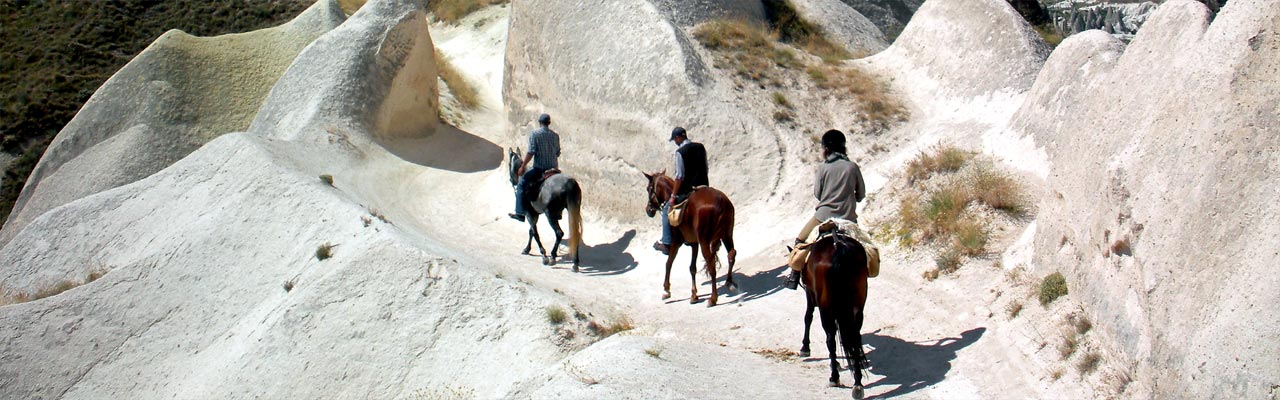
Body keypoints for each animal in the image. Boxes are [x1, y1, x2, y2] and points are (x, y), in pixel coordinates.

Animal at [640, 171, 742, 306]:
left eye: (648, 188)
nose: (648, 210)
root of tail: (721, 201)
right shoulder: (694, 243)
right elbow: (692, 268)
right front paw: (694, 295)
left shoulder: (676, 242)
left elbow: (669, 263)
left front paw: (666, 290)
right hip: (727, 234)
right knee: (731, 254)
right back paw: (729, 283)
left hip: (705, 240)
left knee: (711, 263)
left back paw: (713, 298)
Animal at [798, 233, 870, 397]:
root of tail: (838, 247)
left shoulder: (810, 293)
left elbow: (808, 317)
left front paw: (805, 347)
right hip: (858, 304)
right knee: (855, 337)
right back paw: (857, 382)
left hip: (825, 307)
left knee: (830, 338)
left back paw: (834, 377)